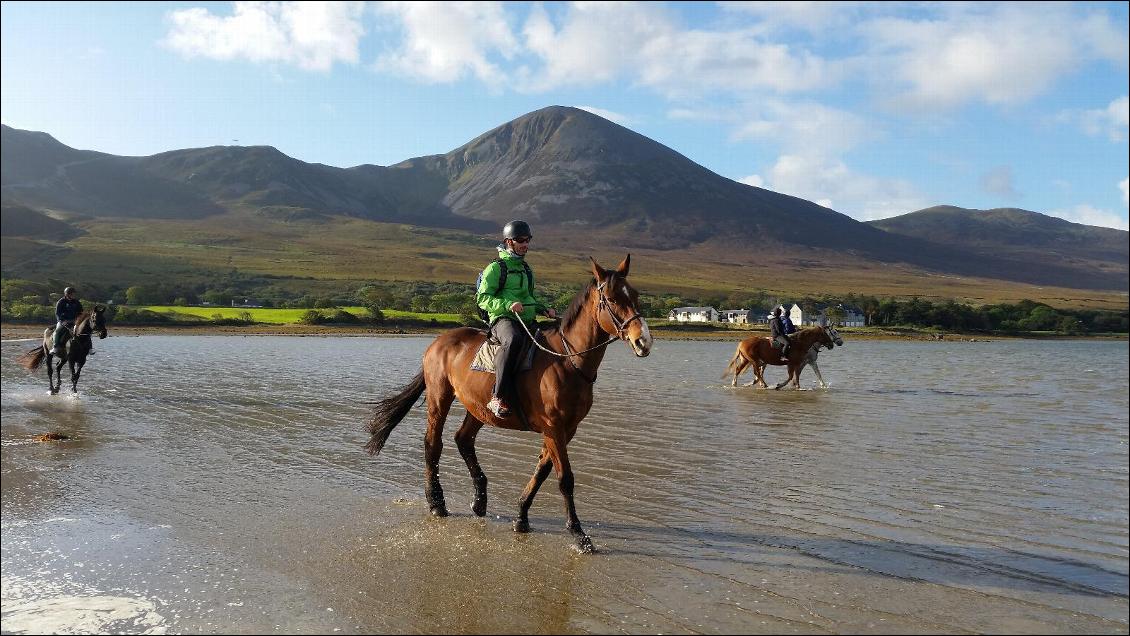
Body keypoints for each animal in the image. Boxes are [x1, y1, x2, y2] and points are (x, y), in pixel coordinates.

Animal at [366, 256, 655, 555]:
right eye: (611, 298)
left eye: (635, 296)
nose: (643, 341)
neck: (567, 359)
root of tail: (439, 341)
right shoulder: (554, 428)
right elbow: (565, 479)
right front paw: (579, 534)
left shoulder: (565, 429)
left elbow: (542, 471)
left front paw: (521, 517)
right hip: (439, 398)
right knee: (433, 443)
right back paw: (436, 503)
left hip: (478, 407)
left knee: (463, 439)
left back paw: (479, 500)